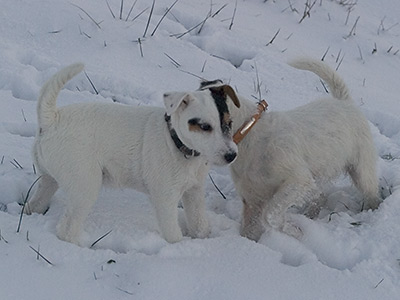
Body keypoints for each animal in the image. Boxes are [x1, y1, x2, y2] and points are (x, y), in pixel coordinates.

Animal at [25, 63, 241, 244]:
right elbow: (173, 235)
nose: (232, 156)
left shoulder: (194, 192)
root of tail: (51, 119)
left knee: (34, 204)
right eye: (205, 127)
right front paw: (181, 248)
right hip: (85, 186)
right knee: (67, 229)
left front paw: (203, 240)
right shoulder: (165, 199)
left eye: (229, 123)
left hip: (49, 179)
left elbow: (199, 225)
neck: (176, 141)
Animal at [202, 58, 380, 241]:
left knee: (372, 193)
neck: (248, 133)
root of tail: (344, 102)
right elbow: (249, 230)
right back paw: (310, 215)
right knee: (320, 196)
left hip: (361, 170)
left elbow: (271, 214)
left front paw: (295, 231)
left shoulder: (298, 181)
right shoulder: (252, 199)